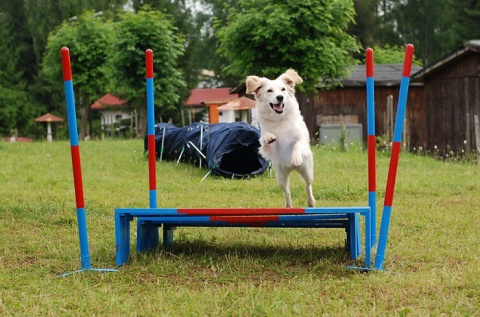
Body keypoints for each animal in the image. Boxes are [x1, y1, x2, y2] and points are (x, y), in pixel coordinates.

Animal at [248, 69, 316, 207]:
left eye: (283, 89)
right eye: (269, 90)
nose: (280, 97)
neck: (279, 119)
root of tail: (291, 169)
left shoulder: (301, 139)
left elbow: (297, 144)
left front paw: (295, 158)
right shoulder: (265, 147)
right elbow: (265, 138)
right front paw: (270, 137)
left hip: (306, 171)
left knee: (308, 186)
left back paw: (311, 202)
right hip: (280, 178)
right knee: (287, 193)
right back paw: (288, 206)